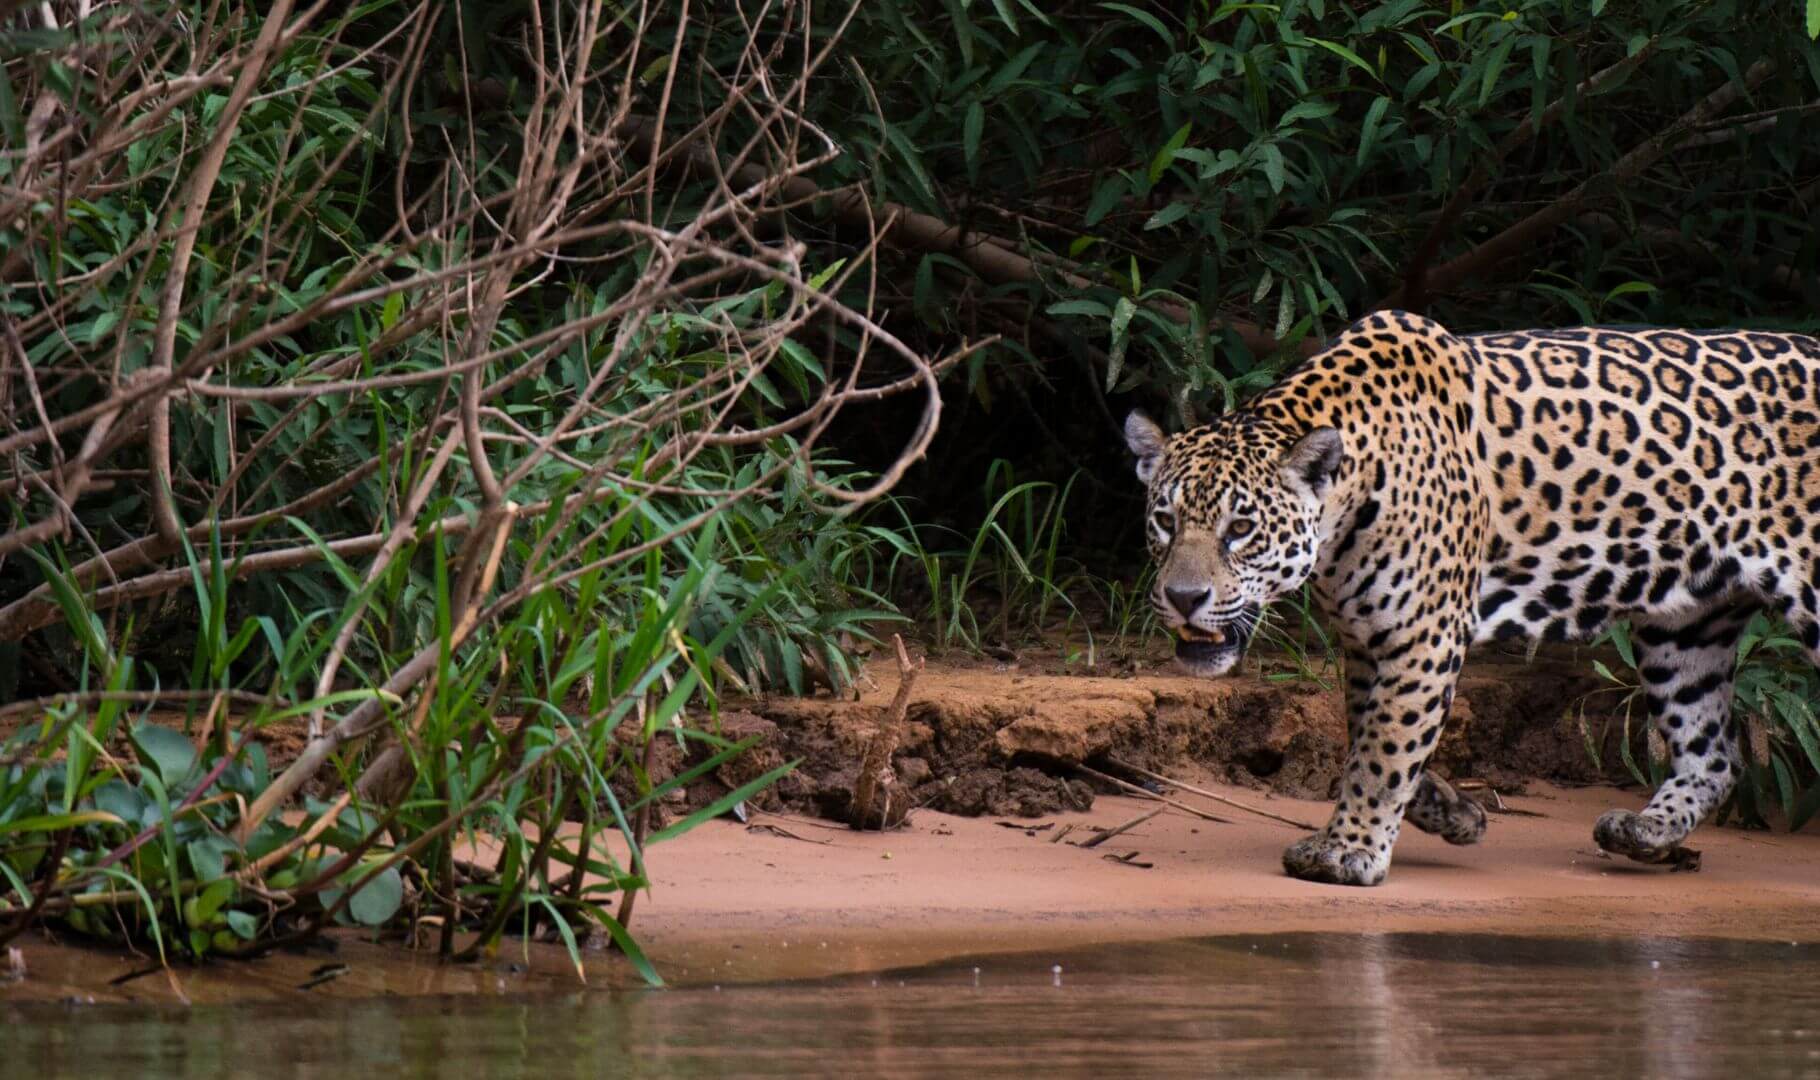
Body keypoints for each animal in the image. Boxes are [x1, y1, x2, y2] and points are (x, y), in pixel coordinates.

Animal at [1124, 309, 1820, 886]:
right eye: (1164, 520)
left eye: (1241, 528)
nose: (1183, 597)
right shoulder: (1366, 639)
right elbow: (1366, 734)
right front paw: (1450, 810)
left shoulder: (1423, 634)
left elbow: (1383, 747)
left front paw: (1349, 849)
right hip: (1688, 626)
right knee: (1715, 753)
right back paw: (1643, 831)